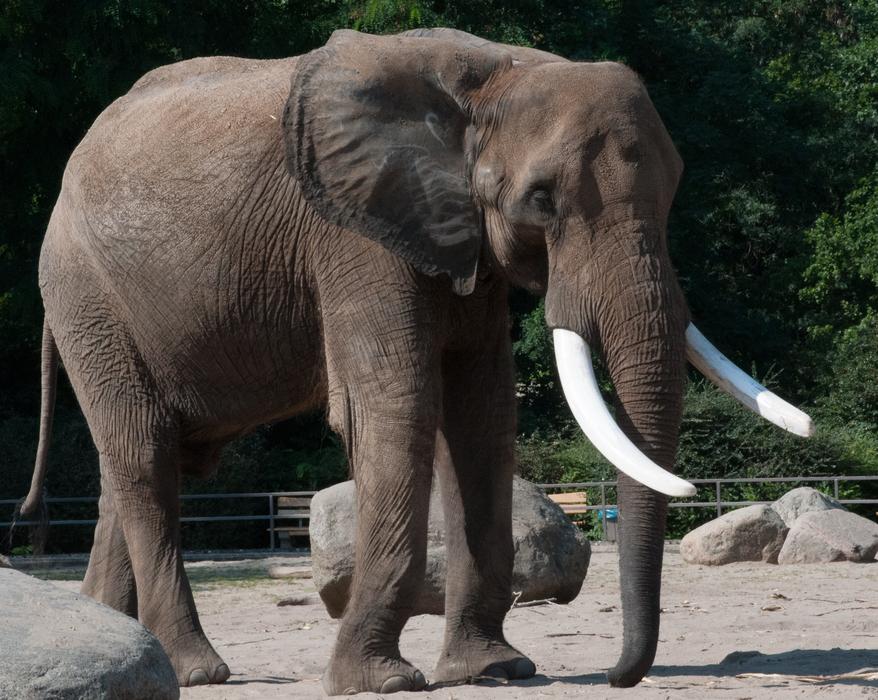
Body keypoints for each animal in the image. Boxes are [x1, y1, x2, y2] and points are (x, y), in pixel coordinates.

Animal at [20, 27, 813, 694]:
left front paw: (496, 670)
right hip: (86, 294)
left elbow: (482, 412)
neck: (494, 73)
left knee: (137, 466)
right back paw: (199, 670)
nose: (620, 676)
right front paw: (385, 682)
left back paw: (120, 643)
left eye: (675, 188)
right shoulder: (354, 232)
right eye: (541, 199)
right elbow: (396, 406)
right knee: (145, 456)